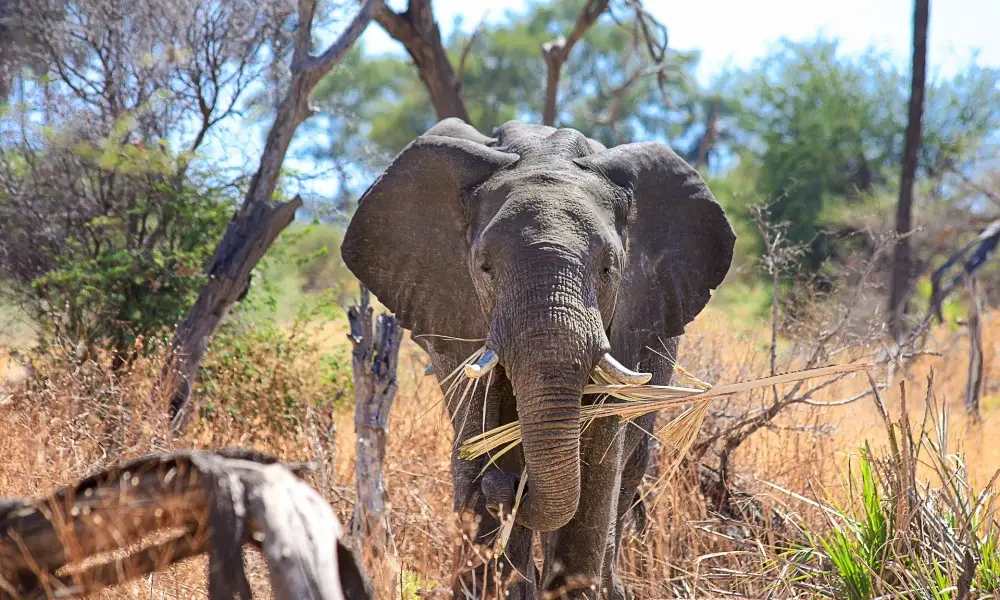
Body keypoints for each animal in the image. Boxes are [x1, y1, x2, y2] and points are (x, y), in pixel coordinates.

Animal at [341, 118, 735, 600]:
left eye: (609, 268)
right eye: (485, 267)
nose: (512, 487)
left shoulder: (627, 320)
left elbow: (599, 459)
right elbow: (479, 427)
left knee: (628, 473)